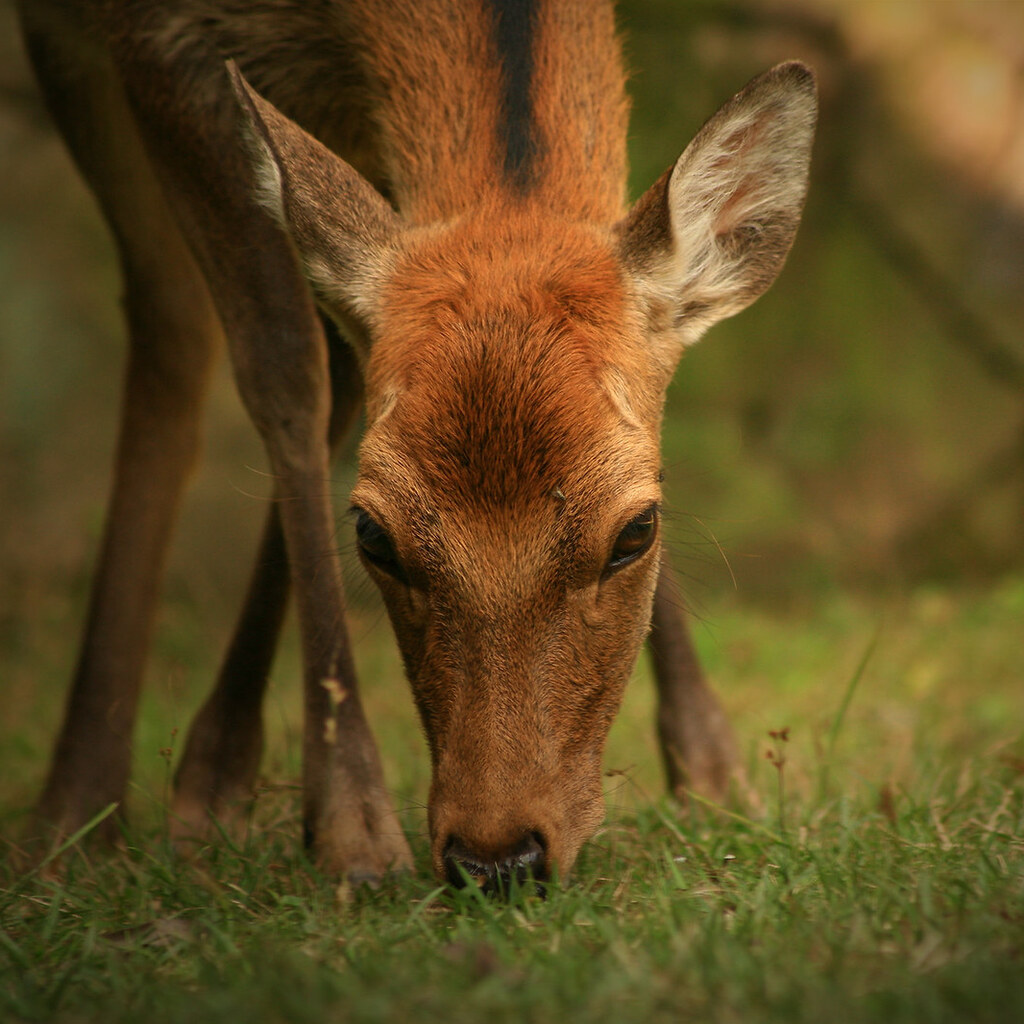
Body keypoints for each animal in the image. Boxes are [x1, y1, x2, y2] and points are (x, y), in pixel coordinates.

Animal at [15, 0, 815, 892]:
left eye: (638, 530)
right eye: (372, 534)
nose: (497, 857)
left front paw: (717, 778)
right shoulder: (156, 46)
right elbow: (282, 368)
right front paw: (350, 832)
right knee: (175, 325)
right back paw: (75, 813)